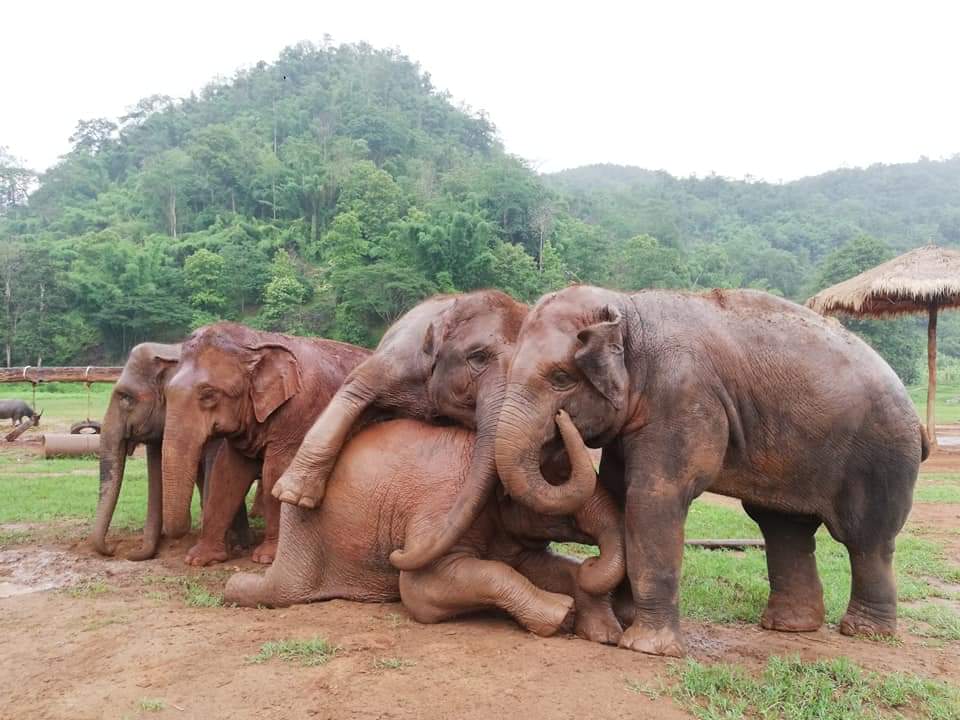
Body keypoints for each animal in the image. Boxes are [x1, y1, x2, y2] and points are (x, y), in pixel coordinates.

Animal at [91, 342, 259, 561]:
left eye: (126, 397)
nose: (117, 550)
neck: (172, 350)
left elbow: (217, 472)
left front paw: (226, 548)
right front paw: (239, 544)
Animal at [161, 323, 371, 565]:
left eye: (208, 394)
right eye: (166, 393)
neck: (258, 341)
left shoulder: (299, 413)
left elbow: (275, 470)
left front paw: (266, 558)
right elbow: (226, 473)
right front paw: (199, 559)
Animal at [226, 414, 626, 644]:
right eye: (561, 473)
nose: (560, 414)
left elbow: (542, 566)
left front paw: (604, 634)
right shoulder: (442, 507)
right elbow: (418, 590)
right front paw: (562, 616)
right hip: (305, 525)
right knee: (284, 591)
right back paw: (235, 586)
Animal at [494, 284, 927, 657]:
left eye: (561, 378)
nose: (560, 427)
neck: (628, 308)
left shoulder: (684, 398)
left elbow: (652, 496)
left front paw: (645, 646)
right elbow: (619, 492)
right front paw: (625, 618)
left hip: (882, 457)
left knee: (865, 539)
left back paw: (865, 632)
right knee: (785, 527)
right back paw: (789, 626)